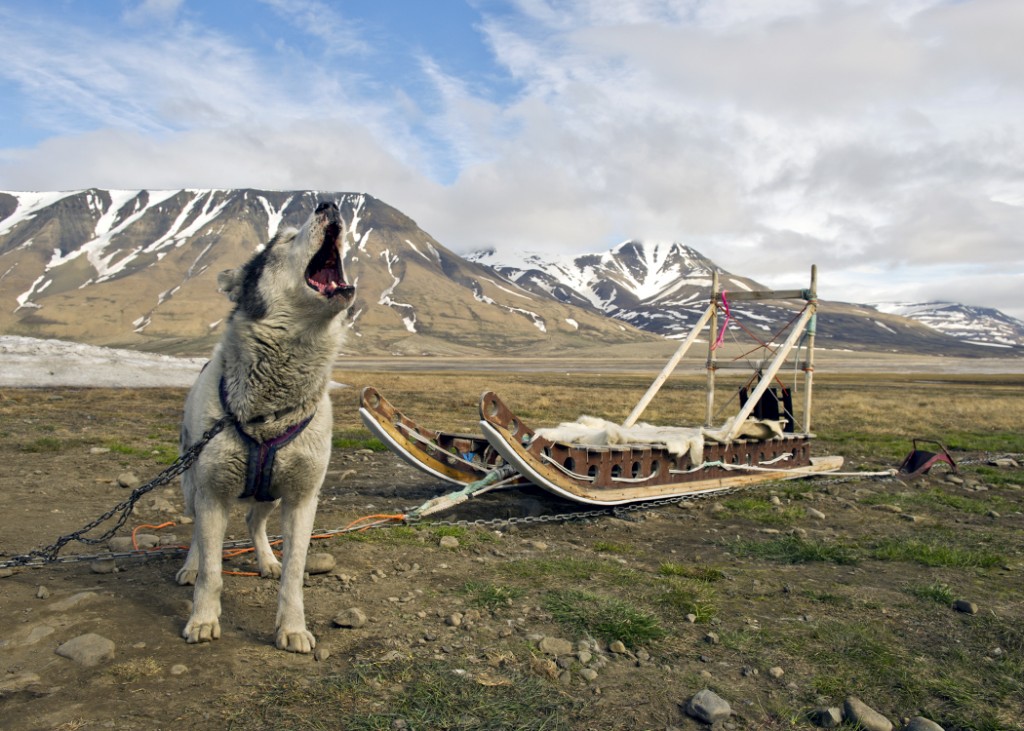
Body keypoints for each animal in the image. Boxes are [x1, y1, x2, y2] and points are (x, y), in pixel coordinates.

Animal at [174, 199, 354, 651]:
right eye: (285, 240)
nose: (329, 203)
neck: (269, 412)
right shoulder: (213, 494)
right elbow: (212, 571)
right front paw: (203, 618)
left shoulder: (302, 499)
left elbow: (294, 574)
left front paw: (292, 627)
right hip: (192, 485)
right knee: (197, 535)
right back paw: (189, 566)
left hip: (271, 492)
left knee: (255, 522)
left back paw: (266, 559)